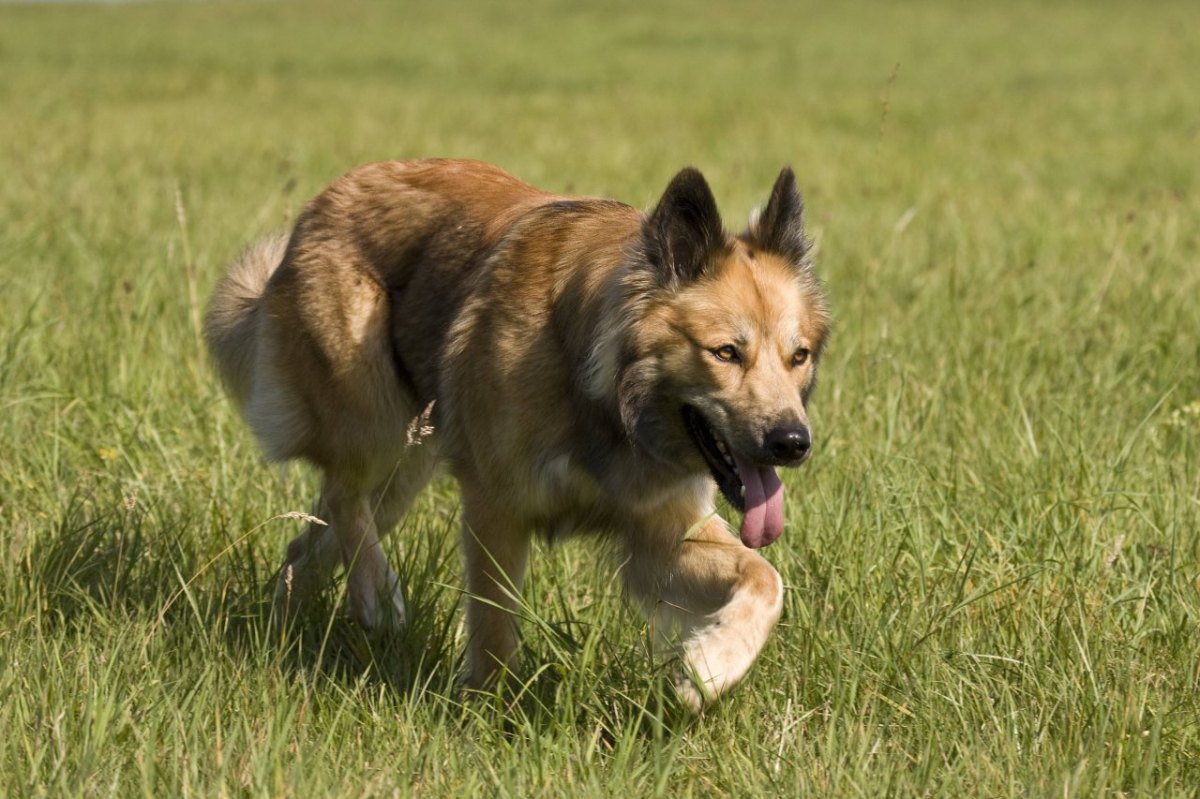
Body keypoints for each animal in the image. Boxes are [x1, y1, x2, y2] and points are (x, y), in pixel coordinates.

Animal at [204, 158, 825, 705]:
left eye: (798, 356)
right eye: (725, 353)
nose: (793, 443)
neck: (593, 383)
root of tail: (323, 204)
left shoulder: (659, 528)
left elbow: (766, 580)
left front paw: (708, 667)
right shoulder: (496, 509)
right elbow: (496, 627)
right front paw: (490, 717)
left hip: (404, 472)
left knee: (312, 538)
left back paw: (286, 621)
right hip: (377, 425)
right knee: (342, 492)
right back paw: (376, 595)